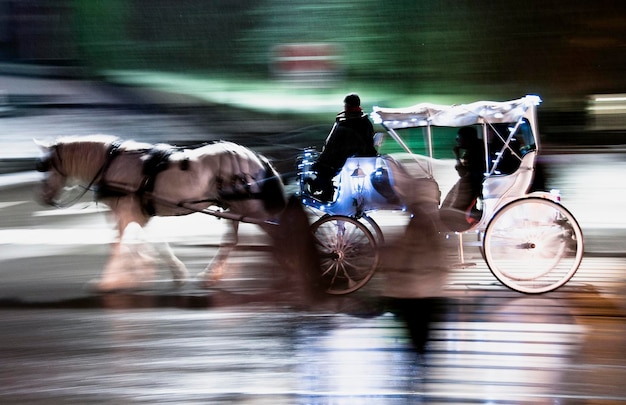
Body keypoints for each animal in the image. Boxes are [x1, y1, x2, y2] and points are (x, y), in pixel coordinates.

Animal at [34, 134, 312, 292]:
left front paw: (109, 281)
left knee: (278, 232)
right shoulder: (139, 214)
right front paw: (167, 272)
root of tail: (257, 158)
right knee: (231, 241)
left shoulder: (126, 213)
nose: (45, 199)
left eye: (45, 166)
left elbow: (119, 244)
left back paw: (294, 268)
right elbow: (154, 244)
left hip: (250, 207)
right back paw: (211, 276)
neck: (111, 163)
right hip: (235, 207)